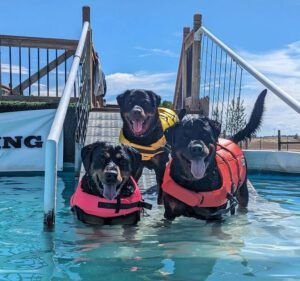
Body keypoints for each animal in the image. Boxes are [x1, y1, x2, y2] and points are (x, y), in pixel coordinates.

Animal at [162, 89, 268, 221]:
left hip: (243, 189)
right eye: (184, 136)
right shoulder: (169, 213)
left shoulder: (216, 215)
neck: (194, 183)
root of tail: (231, 139)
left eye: (205, 134)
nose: (196, 148)